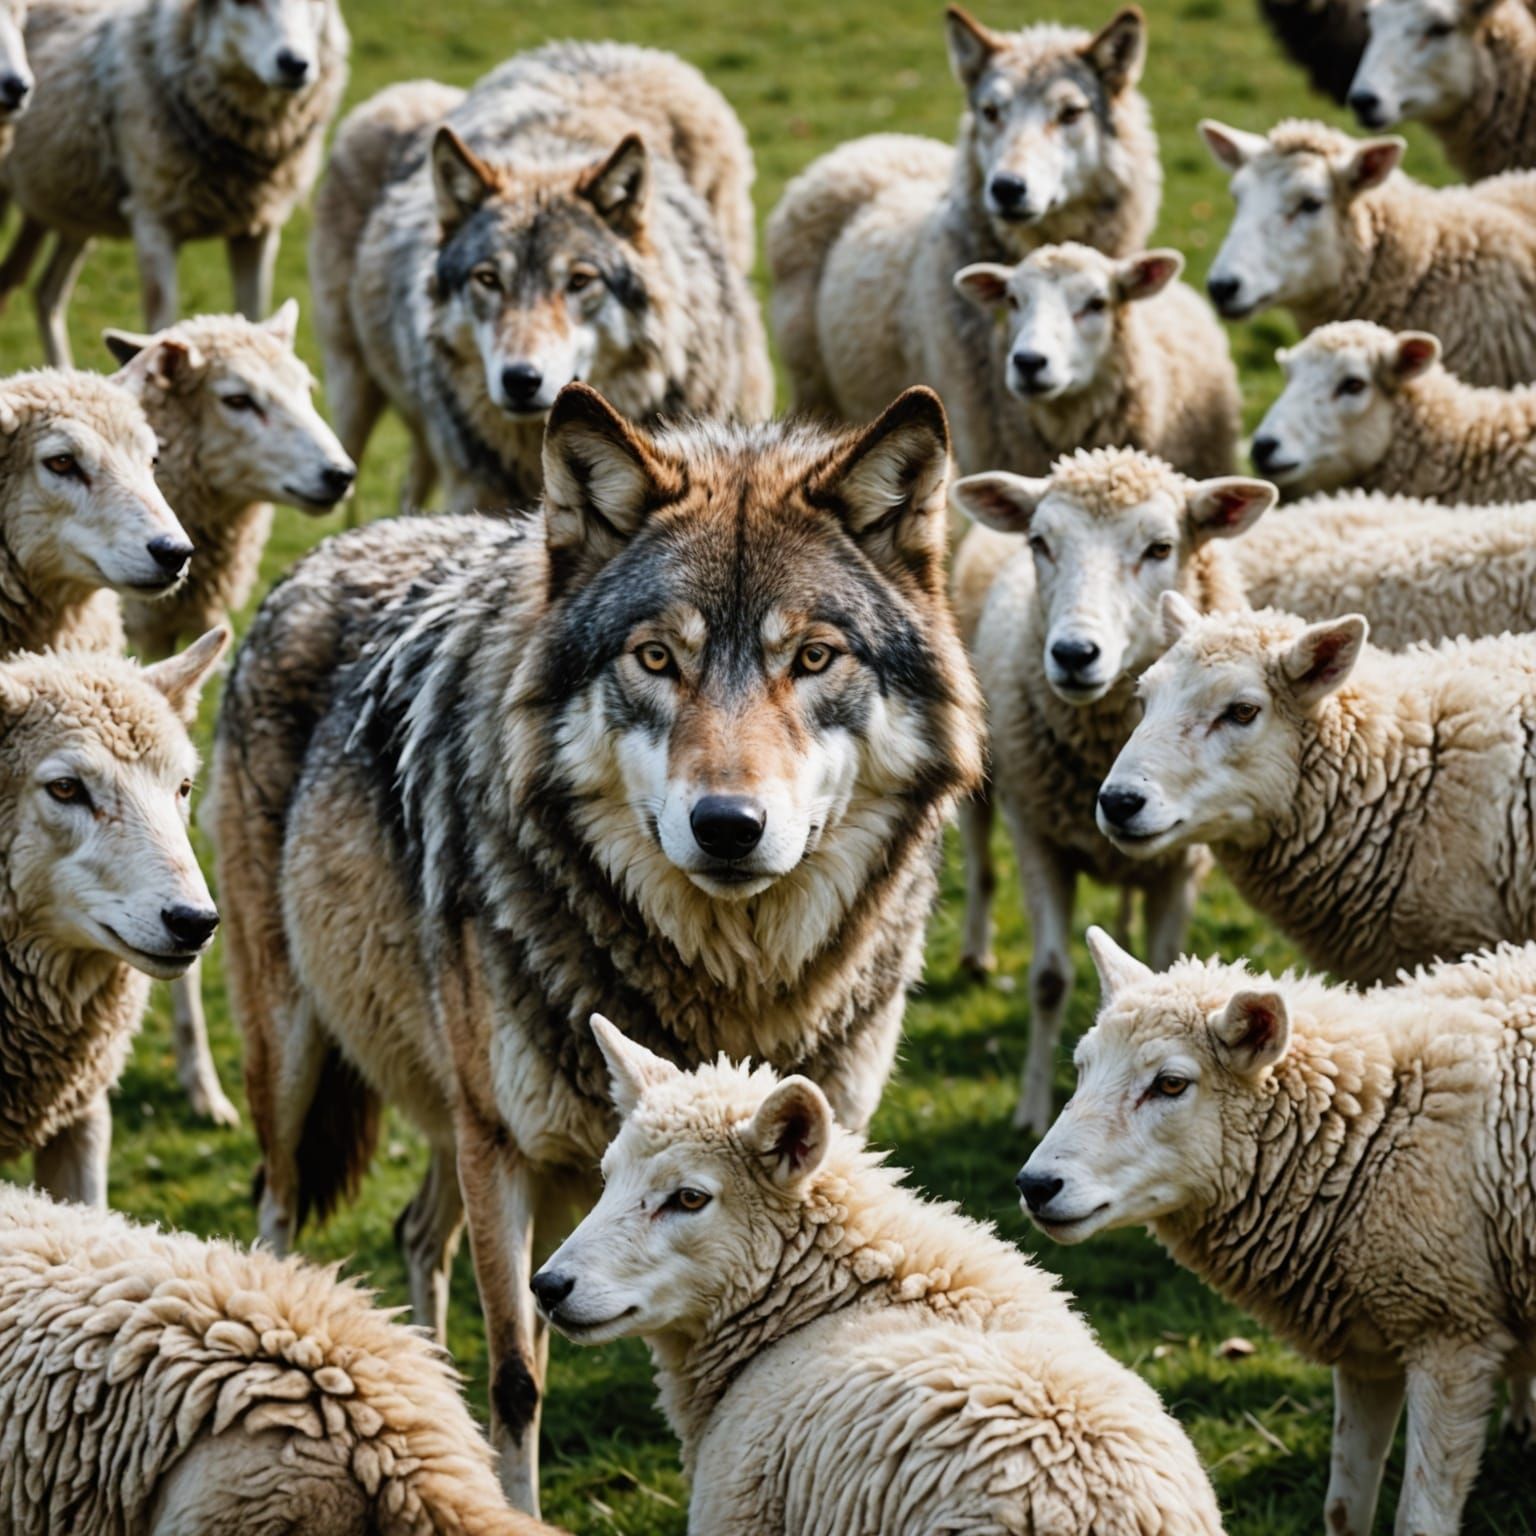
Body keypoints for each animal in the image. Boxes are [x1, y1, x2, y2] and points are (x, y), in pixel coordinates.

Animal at [0, 0, 348, 366]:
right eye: (243, 4)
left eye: (314, 4)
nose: (293, 63)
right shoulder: (154, 224)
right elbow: (160, 328)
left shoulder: (258, 230)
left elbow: (254, 319)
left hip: (67, 209)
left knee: (44, 291)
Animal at [212, 383, 984, 1513]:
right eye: (657, 658)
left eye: (813, 658)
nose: (727, 826)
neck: (722, 984)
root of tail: (332, 550)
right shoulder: (506, 1152)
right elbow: (518, 1375)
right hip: (305, 1067)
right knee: (277, 1215)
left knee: (412, 1232)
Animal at [949, 448, 1274, 1133]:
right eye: (1041, 543)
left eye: (1161, 547)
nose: (1074, 653)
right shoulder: (1038, 836)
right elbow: (1048, 978)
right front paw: (1031, 1107)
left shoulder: (1182, 862)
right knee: (980, 863)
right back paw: (976, 950)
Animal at [1020, 931, 1536, 1536]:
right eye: (1081, 1069)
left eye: (1171, 1084)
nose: (1034, 1185)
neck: (1376, 1128)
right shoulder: (1369, 1351)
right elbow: (1343, 1510)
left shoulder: (1452, 1338)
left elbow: (1418, 1522)